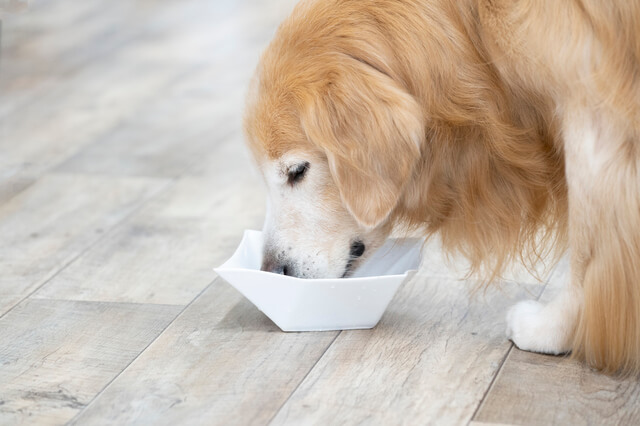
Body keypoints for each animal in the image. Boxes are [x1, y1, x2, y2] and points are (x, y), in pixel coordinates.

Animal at [241, 0, 640, 372]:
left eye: (297, 171)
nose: (272, 272)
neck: (474, 32)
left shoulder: (591, 110)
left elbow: (588, 249)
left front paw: (555, 329)